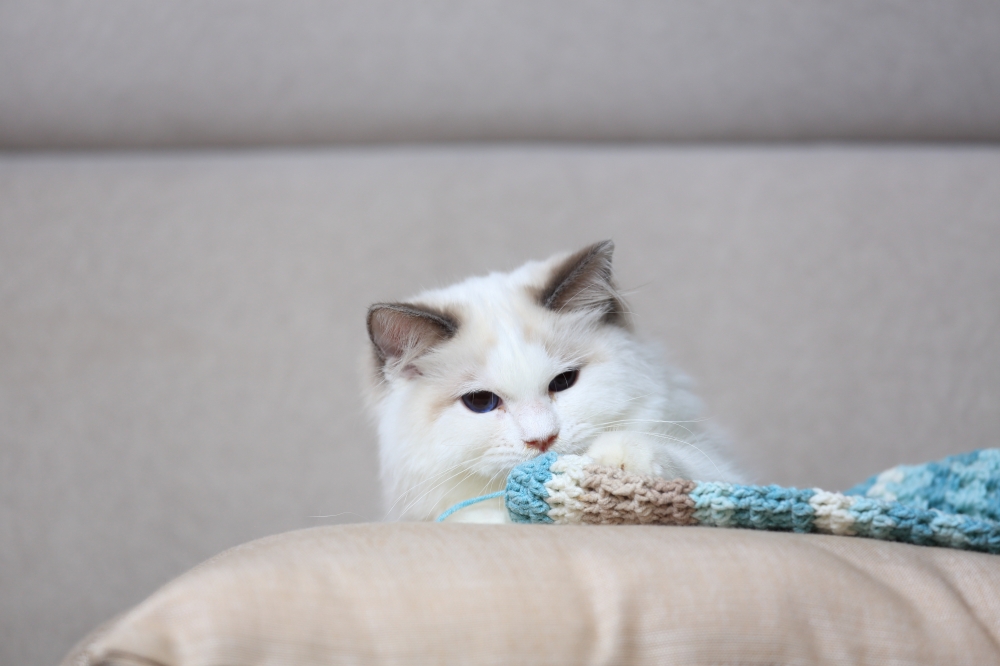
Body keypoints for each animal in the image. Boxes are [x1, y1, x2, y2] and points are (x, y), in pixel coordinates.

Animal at [366, 241, 744, 520]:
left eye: (563, 381)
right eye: (481, 402)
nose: (542, 440)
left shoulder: (722, 468)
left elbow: (685, 464)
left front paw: (620, 466)